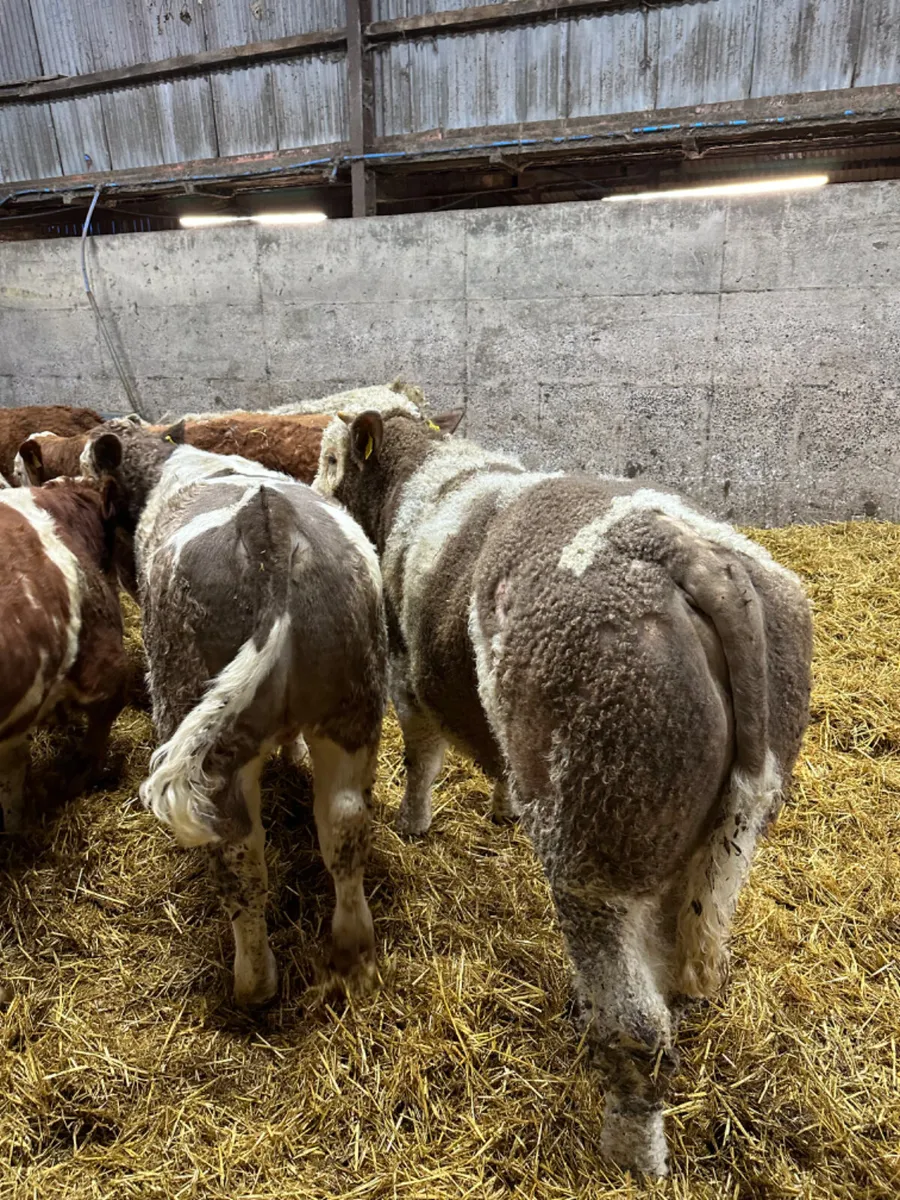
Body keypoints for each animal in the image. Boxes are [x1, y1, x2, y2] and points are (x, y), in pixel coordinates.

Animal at [82, 421, 388, 1006]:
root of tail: (268, 523)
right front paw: (292, 754)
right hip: (353, 705)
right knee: (343, 821)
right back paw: (353, 953)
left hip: (202, 726)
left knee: (239, 853)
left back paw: (253, 983)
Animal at [312, 408, 813, 1177]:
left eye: (331, 458)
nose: (311, 495)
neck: (428, 478)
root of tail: (685, 549)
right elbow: (493, 763)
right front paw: (498, 808)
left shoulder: (408, 678)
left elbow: (422, 759)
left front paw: (412, 823)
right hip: (721, 839)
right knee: (673, 974)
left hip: (595, 846)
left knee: (638, 1025)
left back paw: (630, 1155)